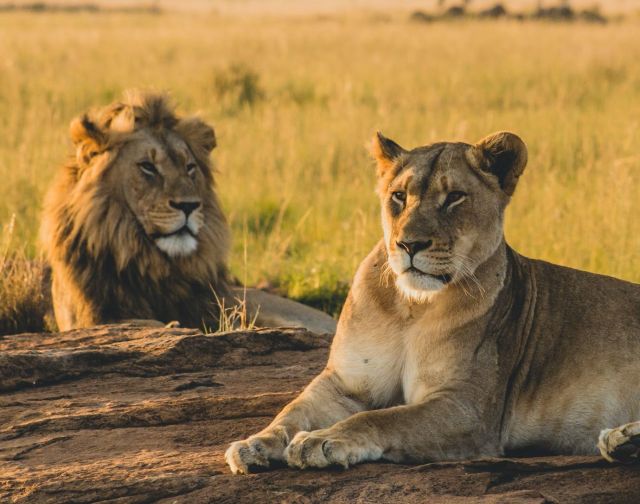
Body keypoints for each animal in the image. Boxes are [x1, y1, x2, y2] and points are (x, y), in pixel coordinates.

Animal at [225, 130, 640, 472]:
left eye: (454, 197)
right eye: (399, 196)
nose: (409, 244)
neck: (411, 308)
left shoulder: (467, 409)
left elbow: (383, 418)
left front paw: (323, 439)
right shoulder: (345, 382)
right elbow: (292, 410)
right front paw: (254, 444)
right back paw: (620, 441)